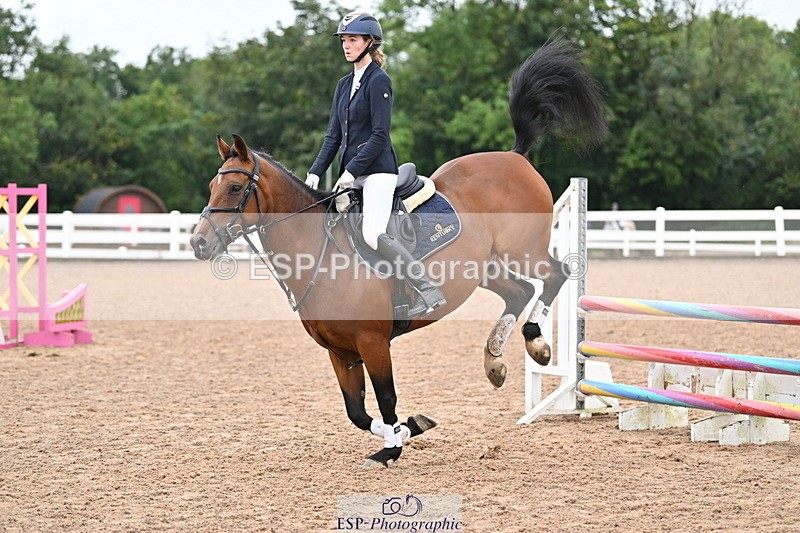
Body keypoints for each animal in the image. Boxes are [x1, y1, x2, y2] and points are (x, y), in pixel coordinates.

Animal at [189, 38, 607, 468]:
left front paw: (394, 444)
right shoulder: (340, 352)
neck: (320, 255)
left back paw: (536, 343)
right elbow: (356, 411)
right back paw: (493, 361)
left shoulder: (372, 342)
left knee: (555, 275)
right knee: (519, 291)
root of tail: (515, 157)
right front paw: (407, 429)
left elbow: (386, 398)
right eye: (211, 186)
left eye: (235, 189)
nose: (199, 242)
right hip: (483, 270)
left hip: (523, 251)